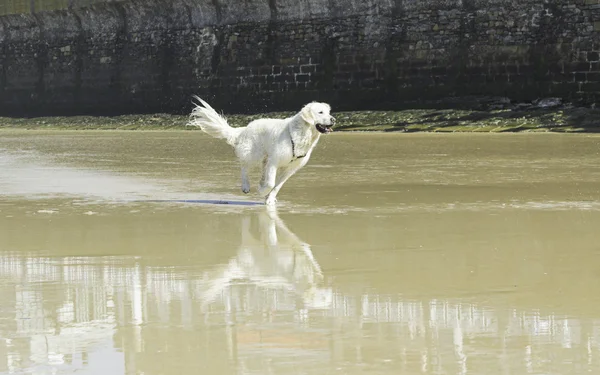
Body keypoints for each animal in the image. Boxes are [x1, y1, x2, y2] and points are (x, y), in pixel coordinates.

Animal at [188, 97, 336, 206]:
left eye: (328, 112)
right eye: (320, 112)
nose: (333, 119)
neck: (301, 134)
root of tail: (245, 128)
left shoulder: (290, 168)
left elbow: (277, 186)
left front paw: (269, 198)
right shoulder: (274, 161)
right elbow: (271, 183)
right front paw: (262, 192)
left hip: (264, 157)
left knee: (261, 172)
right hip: (254, 154)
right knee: (244, 167)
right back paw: (246, 186)